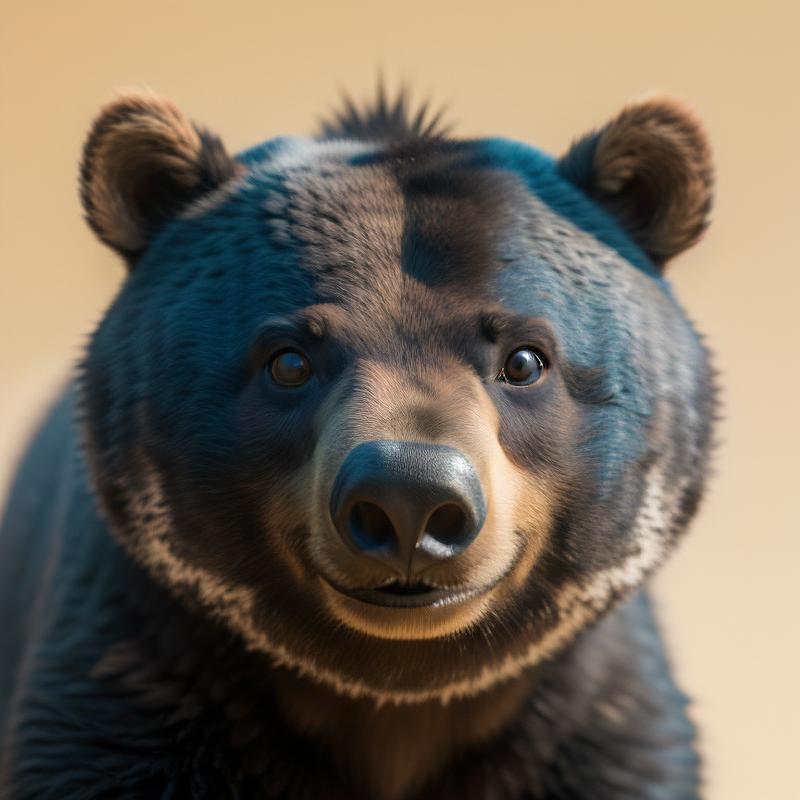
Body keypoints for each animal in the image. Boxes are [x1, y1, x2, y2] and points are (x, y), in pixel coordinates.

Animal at [0, 87, 716, 800]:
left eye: (524, 359)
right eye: (289, 360)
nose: (410, 497)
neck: (392, 706)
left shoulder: (604, 729)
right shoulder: (124, 682)